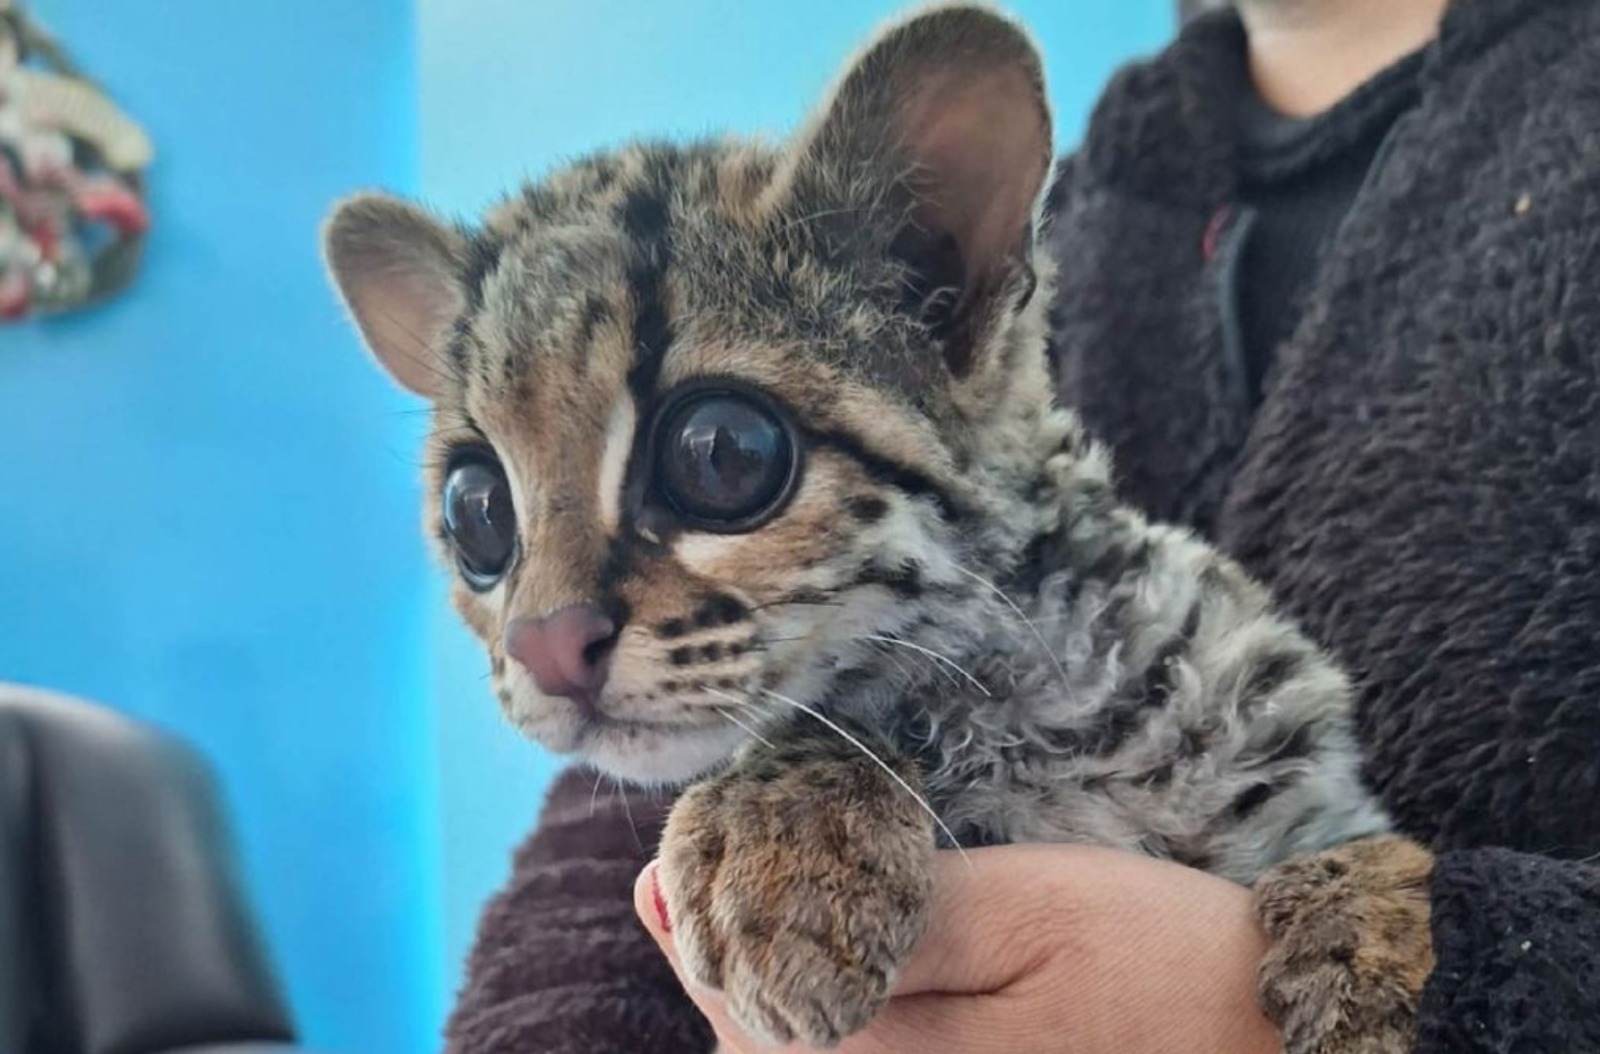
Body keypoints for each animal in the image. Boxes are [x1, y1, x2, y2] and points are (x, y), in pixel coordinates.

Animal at [324, 6, 1427, 1049]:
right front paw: (786, 831)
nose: (546, 646)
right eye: (476, 511)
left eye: (720, 453)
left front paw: (1375, 961)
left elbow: (1366, 843)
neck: (1043, 699)